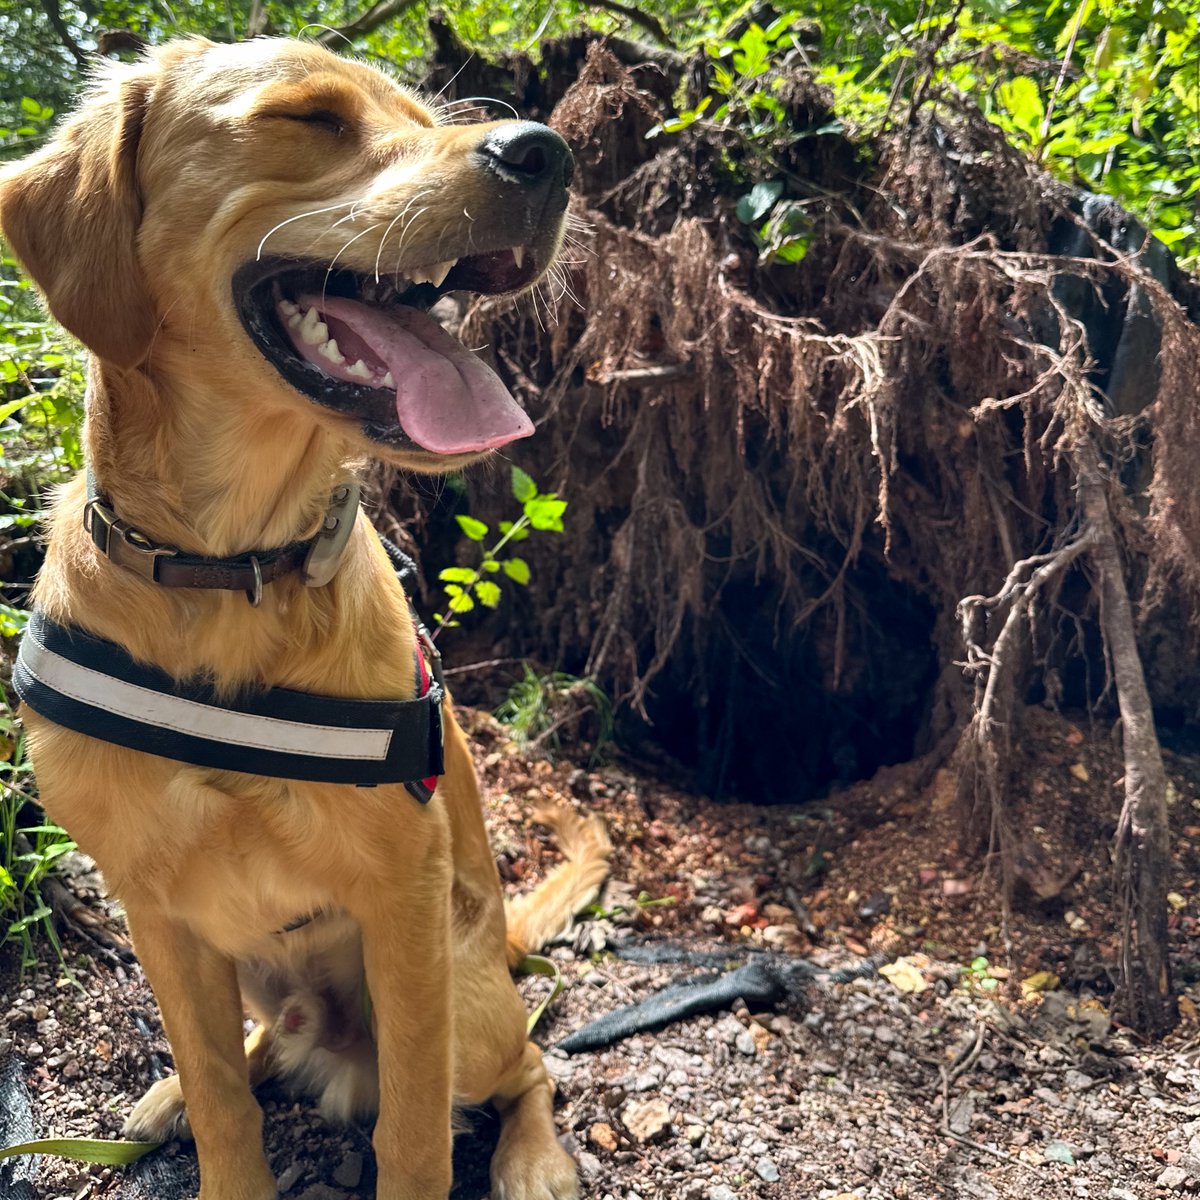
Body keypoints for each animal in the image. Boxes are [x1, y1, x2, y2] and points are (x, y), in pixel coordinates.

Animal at [0, 32, 604, 1200]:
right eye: (309, 117)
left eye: (425, 117)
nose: (546, 152)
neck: (226, 568)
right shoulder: (155, 907)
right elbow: (226, 1106)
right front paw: (202, 1114)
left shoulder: (402, 901)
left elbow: (413, 1133)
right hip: (238, 966)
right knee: (257, 1051)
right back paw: (173, 1094)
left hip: (467, 993)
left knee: (529, 1065)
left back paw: (534, 1159)